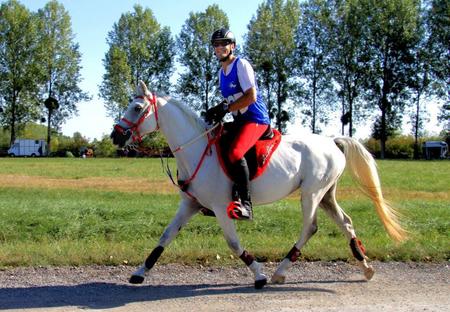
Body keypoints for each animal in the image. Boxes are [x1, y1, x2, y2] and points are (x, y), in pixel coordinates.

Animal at [110, 81, 406, 290]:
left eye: (137, 108)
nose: (115, 136)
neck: (198, 149)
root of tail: (332, 141)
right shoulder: (190, 205)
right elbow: (165, 236)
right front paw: (139, 272)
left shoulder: (220, 208)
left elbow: (232, 243)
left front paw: (259, 274)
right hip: (326, 195)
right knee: (345, 222)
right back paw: (365, 267)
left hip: (312, 193)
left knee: (310, 227)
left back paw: (279, 272)